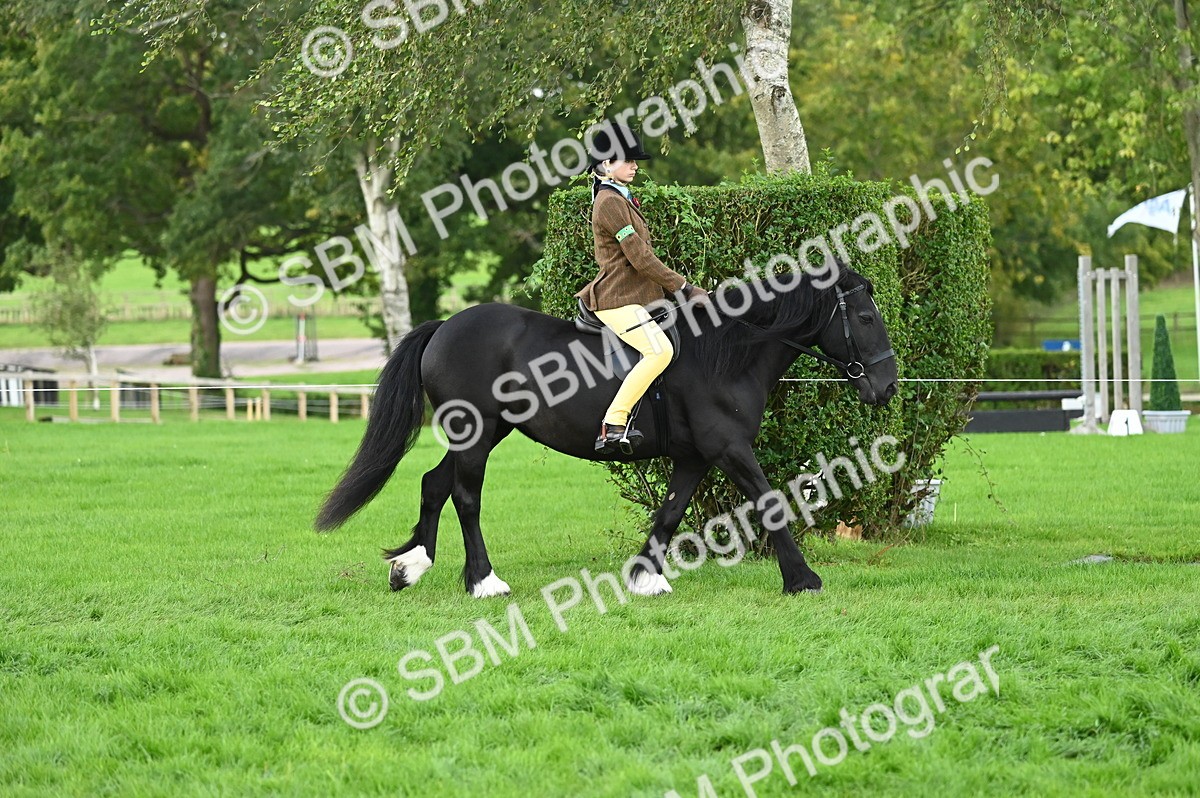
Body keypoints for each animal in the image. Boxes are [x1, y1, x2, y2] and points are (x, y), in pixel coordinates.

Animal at [314, 263, 898, 596]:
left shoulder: (696, 456)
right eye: (866, 318)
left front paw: (645, 576)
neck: (726, 352)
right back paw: (483, 582)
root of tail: (445, 327)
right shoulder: (729, 448)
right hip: (476, 433)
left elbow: (671, 510)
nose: (887, 386)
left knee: (434, 484)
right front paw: (802, 581)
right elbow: (771, 502)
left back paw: (409, 568)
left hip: (486, 431)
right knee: (465, 495)